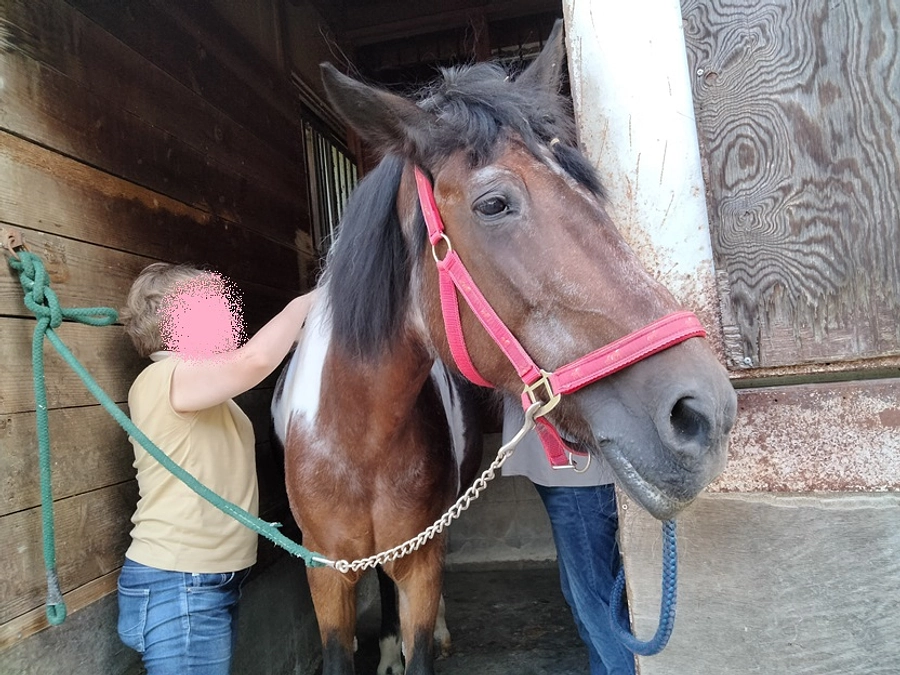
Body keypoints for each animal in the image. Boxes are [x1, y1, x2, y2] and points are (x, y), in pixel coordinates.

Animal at [272, 20, 737, 675]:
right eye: (493, 203)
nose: (704, 412)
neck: (356, 442)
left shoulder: (422, 561)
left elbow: (418, 629)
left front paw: (413, 645)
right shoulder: (326, 575)